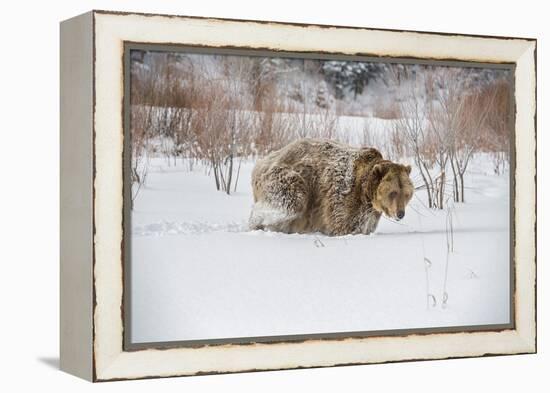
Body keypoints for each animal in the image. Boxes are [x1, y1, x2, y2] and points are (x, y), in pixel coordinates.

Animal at [249, 139, 414, 236]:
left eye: (406, 194)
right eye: (393, 192)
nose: (400, 213)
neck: (366, 192)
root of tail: (261, 163)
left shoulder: (369, 211)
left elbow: (365, 226)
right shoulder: (343, 195)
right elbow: (343, 224)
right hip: (288, 177)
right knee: (291, 202)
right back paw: (256, 222)